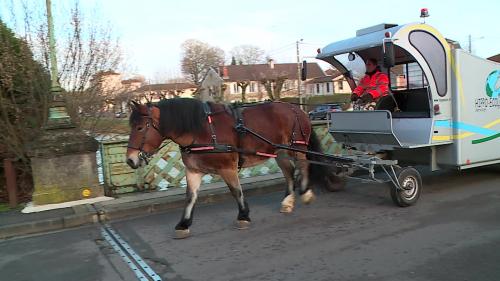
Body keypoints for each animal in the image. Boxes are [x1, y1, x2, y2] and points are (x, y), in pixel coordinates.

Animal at [127, 97, 342, 237]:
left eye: (140, 127)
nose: (130, 160)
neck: (202, 130)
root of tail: (296, 109)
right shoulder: (193, 171)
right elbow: (190, 197)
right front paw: (183, 224)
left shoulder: (227, 168)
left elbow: (236, 191)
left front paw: (243, 215)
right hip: (279, 151)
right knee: (289, 172)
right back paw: (288, 201)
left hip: (296, 147)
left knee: (304, 164)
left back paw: (305, 192)